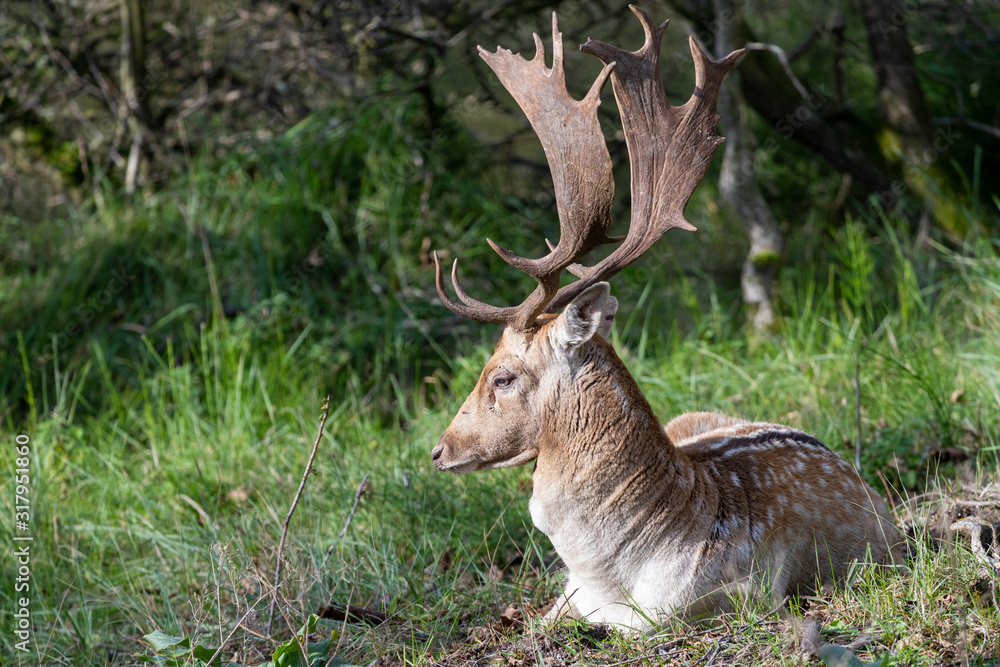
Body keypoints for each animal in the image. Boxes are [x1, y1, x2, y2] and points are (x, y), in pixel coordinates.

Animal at [430, 7, 904, 630]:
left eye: (502, 376)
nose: (439, 449)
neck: (609, 573)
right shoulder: (567, 594)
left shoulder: (736, 595)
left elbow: (639, 625)